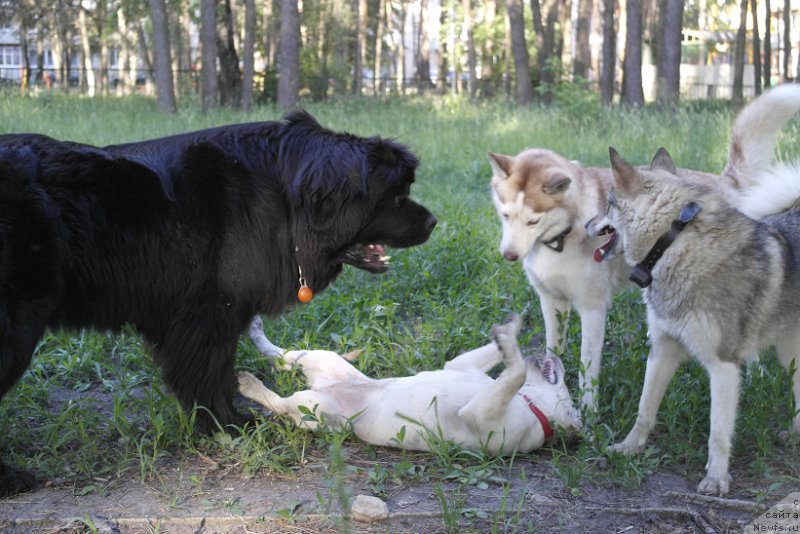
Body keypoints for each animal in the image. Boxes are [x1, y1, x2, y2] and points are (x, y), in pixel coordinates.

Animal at [0, 110, 438, 498]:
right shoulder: (211, 315)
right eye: (395, 197)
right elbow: (211, 373)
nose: (433, 222)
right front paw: (229, 424)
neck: (284, 201)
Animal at [234, 316, 580, 458]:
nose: (554, 357)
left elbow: (516, 373)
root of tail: (328, 388)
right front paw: (512, 330)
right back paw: (255, 333)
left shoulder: (482, 413)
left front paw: (512, 344)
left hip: (321, 414)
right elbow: (510, 365)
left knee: (281, 402)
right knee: (282, 357)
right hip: (322, 359)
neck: (531, 405)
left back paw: (250, 385)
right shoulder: (460, 366)